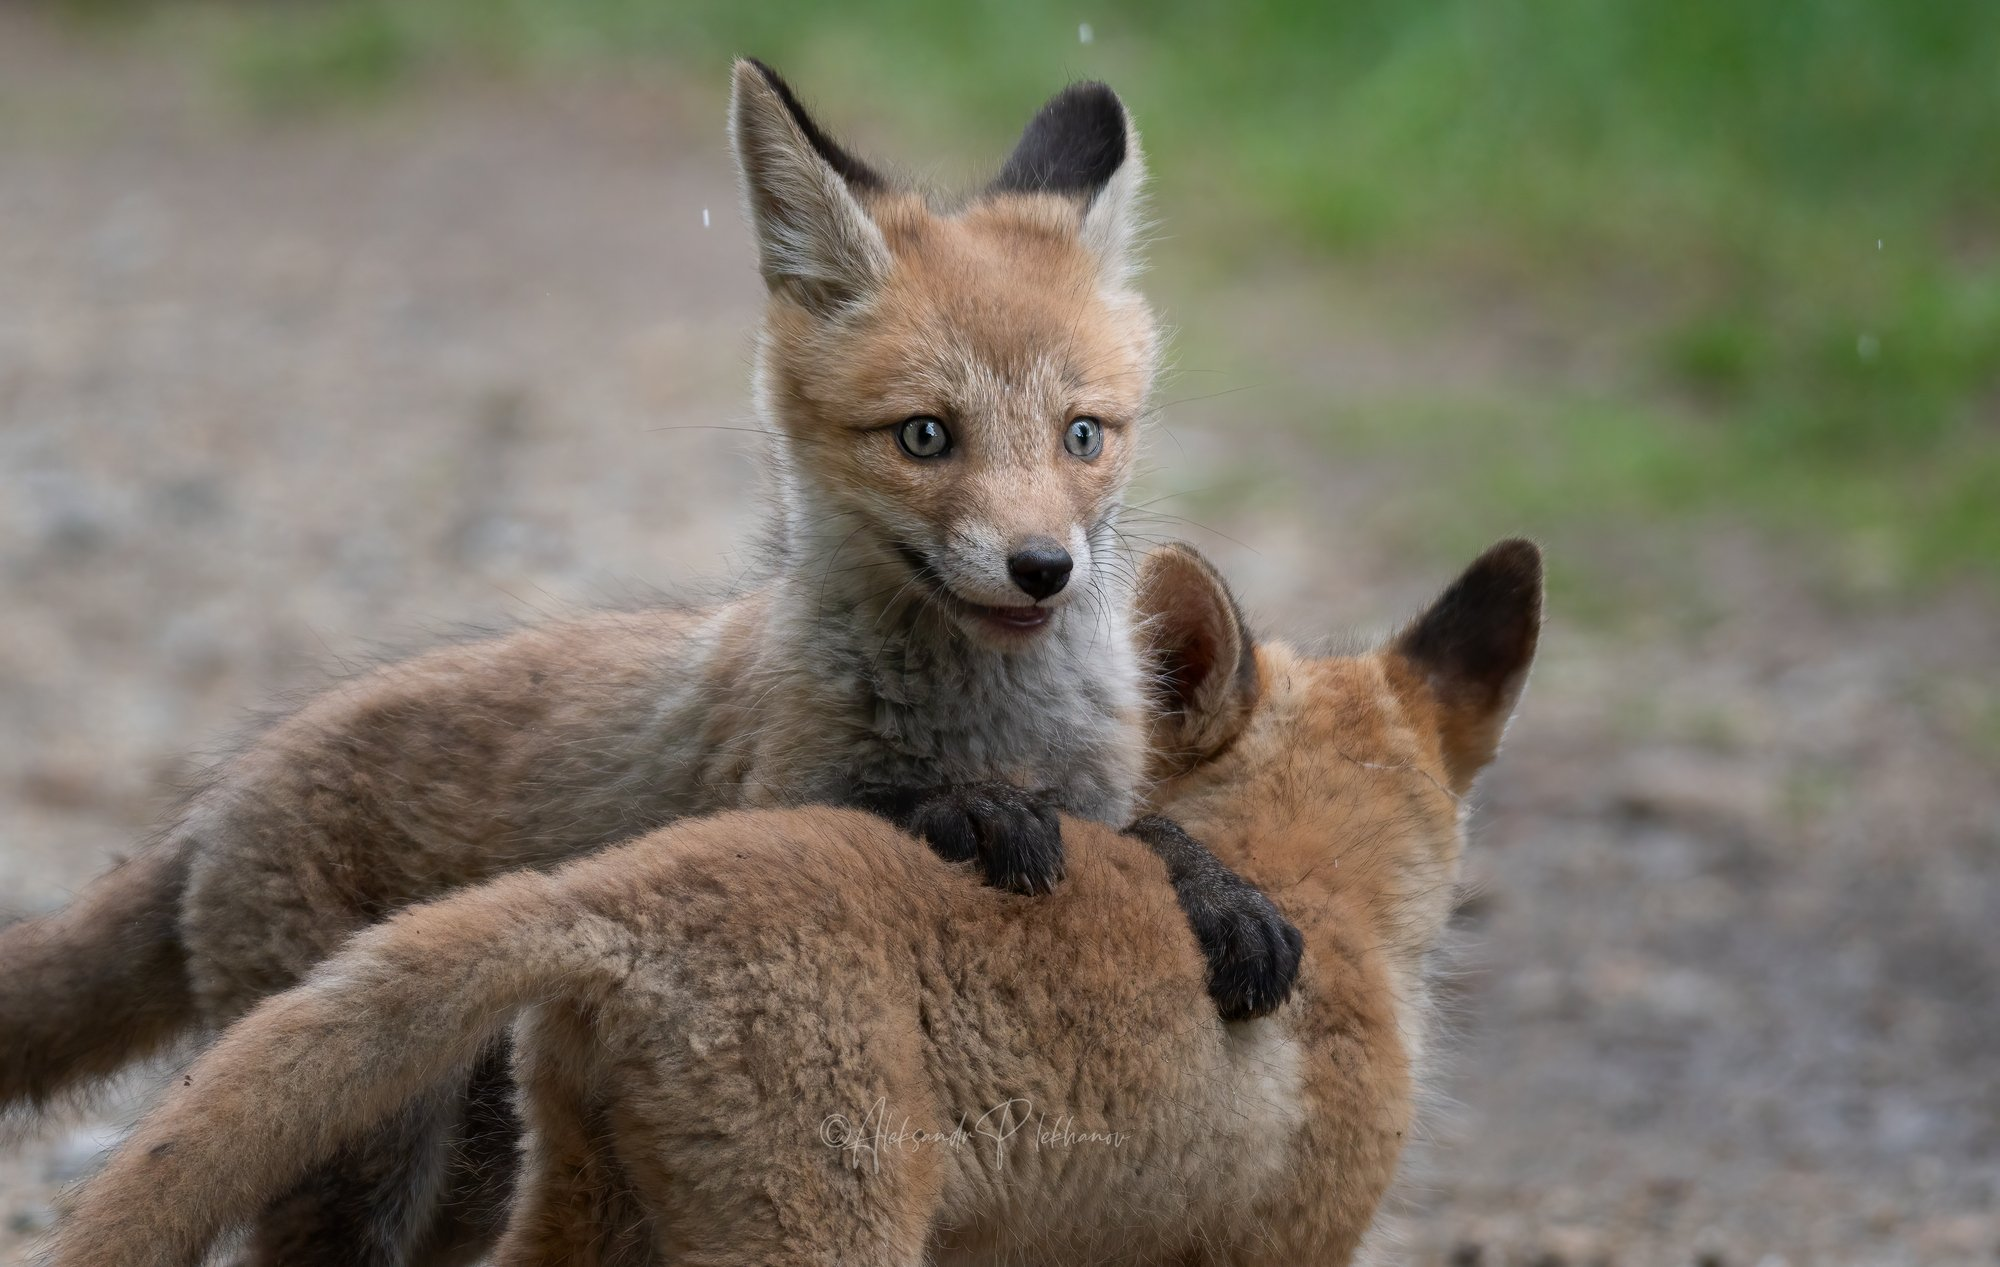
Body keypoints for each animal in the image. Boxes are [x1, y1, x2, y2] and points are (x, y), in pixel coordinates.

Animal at [0, 56, 1296, 1255]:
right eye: (926, 436)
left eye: (1083, 434)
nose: (1042, 567)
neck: (994, 726)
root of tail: (215, 802)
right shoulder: (779, 804)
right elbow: (908, 809)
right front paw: (975, 815)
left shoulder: (1098, 796)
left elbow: (1157, 836)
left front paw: (1227, 898)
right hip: (374, 1152)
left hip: (482, 1149)